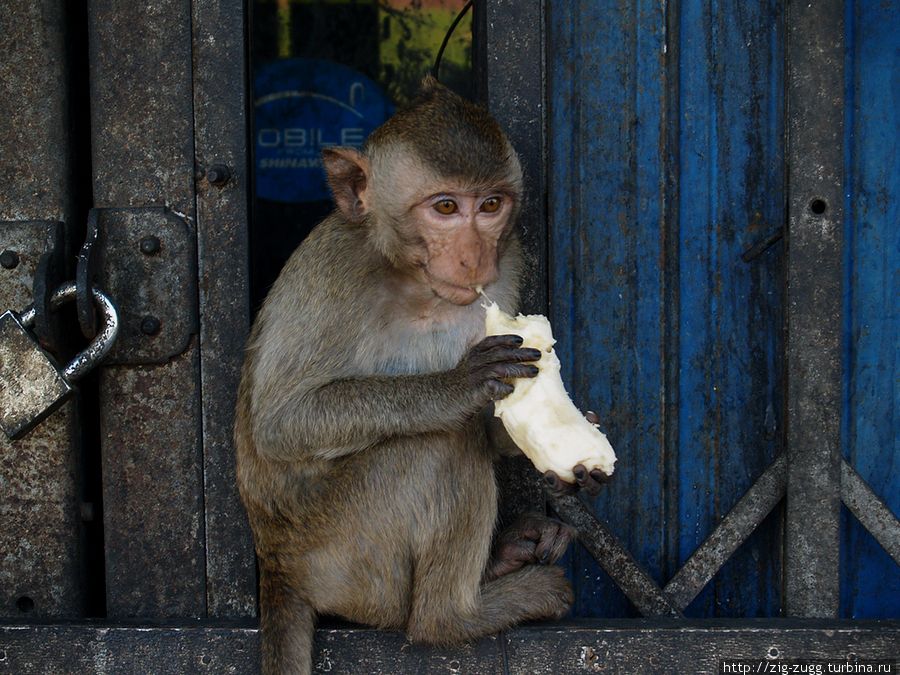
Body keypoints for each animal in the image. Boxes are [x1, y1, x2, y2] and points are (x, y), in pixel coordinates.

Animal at [236, 78, 608, 675]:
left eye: (491, 205)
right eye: (446, 207)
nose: (475, 258)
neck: (415, 284)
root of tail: (276, 567)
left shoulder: (507, 269)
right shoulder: (337, 270)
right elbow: (280, 423)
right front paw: (459, 386)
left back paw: (508, 556)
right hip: (344, 559)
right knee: (438, 444)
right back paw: (457, 616)